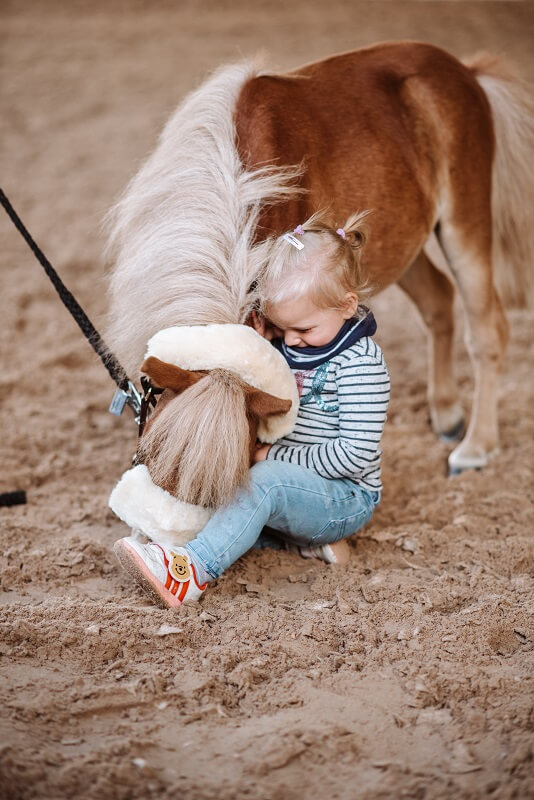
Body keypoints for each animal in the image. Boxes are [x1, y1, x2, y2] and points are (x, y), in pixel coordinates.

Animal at [107, 43, 534, 500]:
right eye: (146, 457)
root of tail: (463, 70)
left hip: (464, 226)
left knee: (488, 331)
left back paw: (475, 448)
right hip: (400, 240)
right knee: (439, 301)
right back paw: (448, 415)